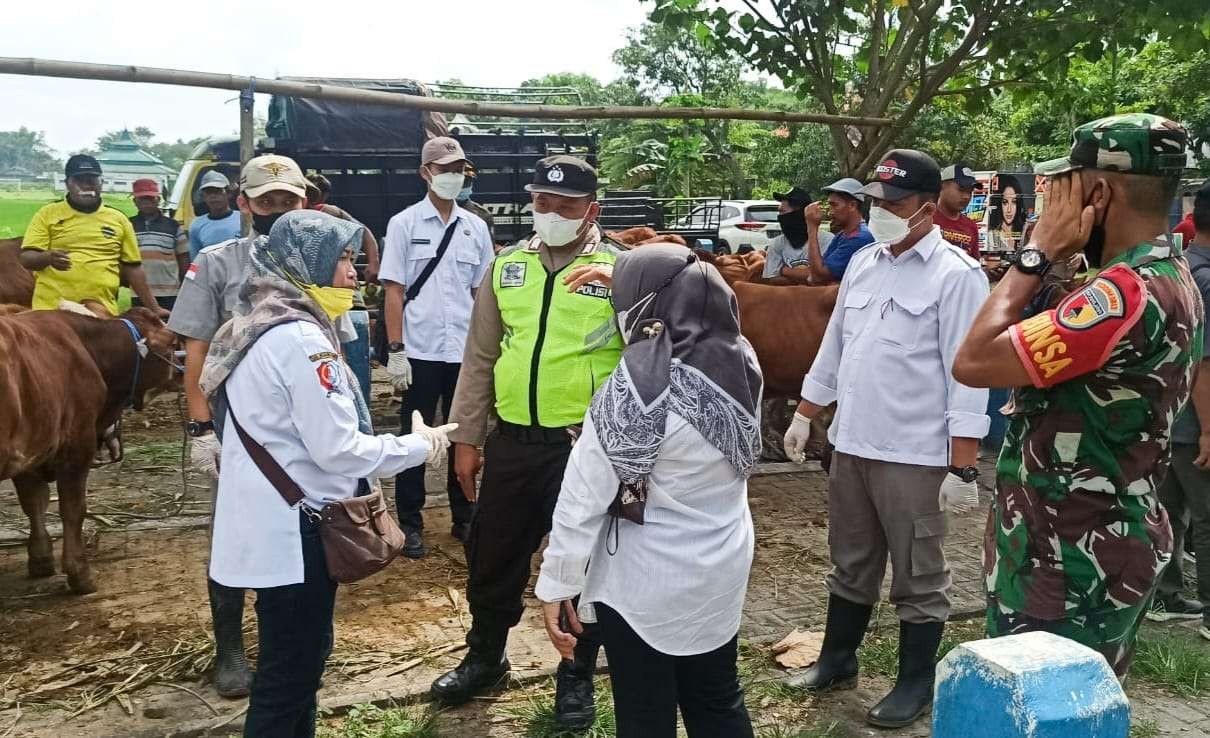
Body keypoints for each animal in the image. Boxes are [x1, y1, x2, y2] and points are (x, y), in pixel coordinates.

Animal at [0, 306, 177, 592]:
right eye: (173, 343)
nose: (184, 374)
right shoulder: (77, 446)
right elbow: (73, 509)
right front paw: (79, 573)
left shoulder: (30, 452)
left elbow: (34, 503)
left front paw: (40, 559)